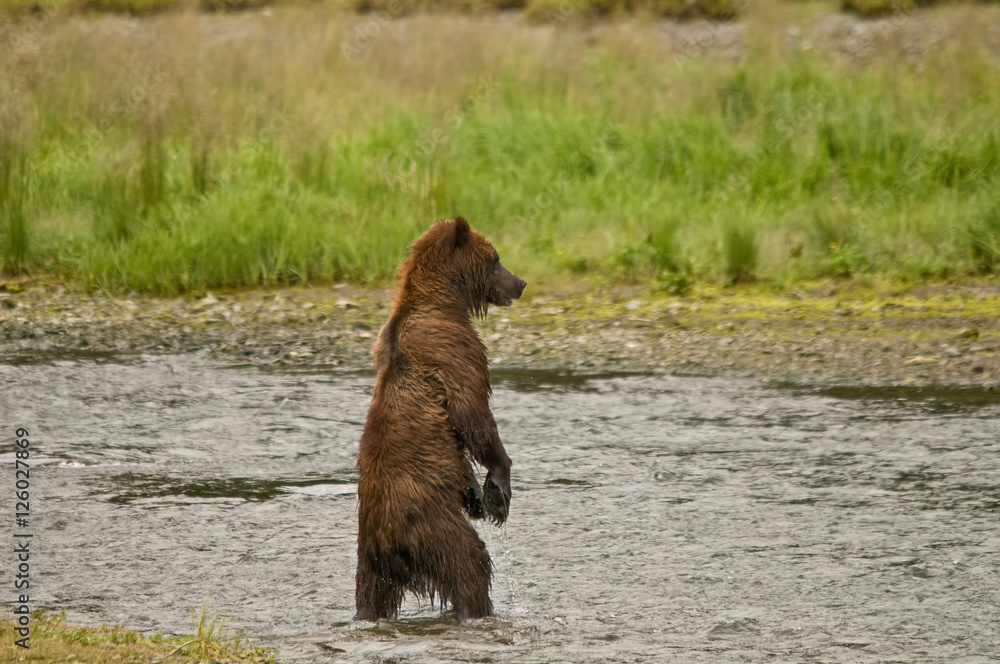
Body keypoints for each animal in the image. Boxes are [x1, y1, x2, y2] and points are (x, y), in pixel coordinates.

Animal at [354, 216, 526, 621]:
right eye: (496, 258)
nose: (521, 283)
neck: (445, 301)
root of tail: (386, 537)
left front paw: (480, 493)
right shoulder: (455, 350)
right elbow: (473, 413)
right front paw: (499, 485)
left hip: (370, 561)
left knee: (371, 595)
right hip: (431, 522)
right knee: (469, 563)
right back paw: (478, 609)